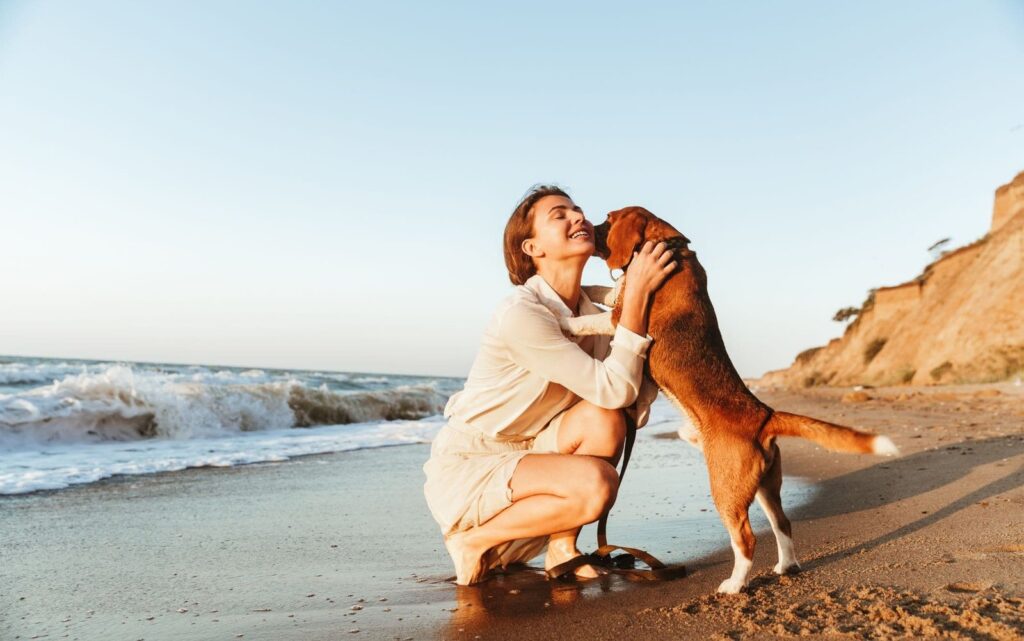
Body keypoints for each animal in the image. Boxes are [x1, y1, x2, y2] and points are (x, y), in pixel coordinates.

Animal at [561, 206, 897, 589]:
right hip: (766, 486)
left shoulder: (621, 319)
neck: (671, 246)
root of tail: (764, 415)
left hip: (726, 489)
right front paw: (586, 289)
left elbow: (595, 317)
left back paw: (735, 585)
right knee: (783, 523)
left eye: (608, 218)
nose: (587, 228)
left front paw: (568, 322)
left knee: (746, 539)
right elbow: (606, 290)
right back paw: (786, 565)